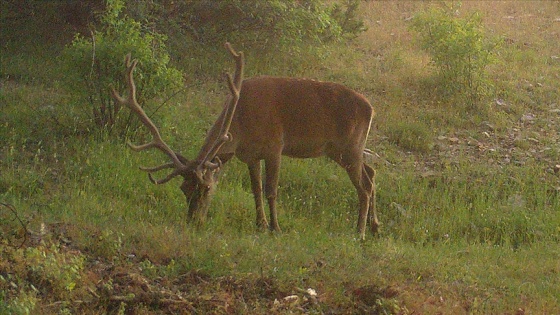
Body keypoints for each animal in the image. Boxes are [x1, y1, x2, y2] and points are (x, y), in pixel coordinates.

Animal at [111, 42, 378, 239]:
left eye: (206, 188)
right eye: (183, 189)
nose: (193, 221)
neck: (240, 126)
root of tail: (371, 107)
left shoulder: (274, 146)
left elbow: (271, 190)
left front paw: (276, 228)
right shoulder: (250, 155)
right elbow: (255, 189)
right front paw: (260, 224)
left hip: (350, 147)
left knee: (364, 186)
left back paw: (359, 232)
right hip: (342, 150)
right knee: (372, 172)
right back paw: (375, 227)